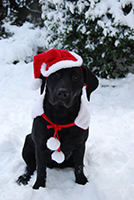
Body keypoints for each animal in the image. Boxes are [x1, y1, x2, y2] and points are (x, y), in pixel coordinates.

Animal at [16, 48, 98, 189]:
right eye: (56, 74)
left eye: (76, 77)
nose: (62, 93)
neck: (61, 115)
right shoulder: (40, 146)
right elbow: (41, 170)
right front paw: (39, 187)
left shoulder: (80, 145)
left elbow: (79, 166)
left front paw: (82, 182)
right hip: (28, 143)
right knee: (30, 167)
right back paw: (23, 178)